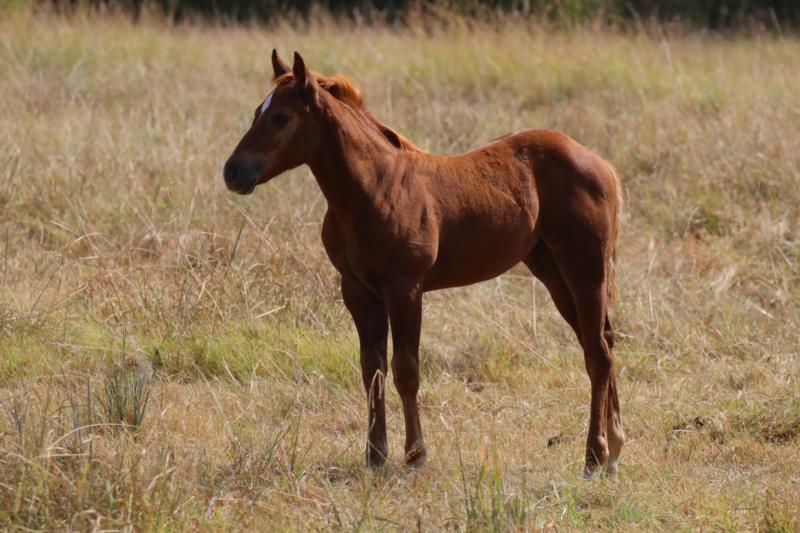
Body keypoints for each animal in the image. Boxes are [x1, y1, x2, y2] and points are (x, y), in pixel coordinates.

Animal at [223, 50, 625, 477]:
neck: (374, 187)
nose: (232, 172)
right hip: (552, 271)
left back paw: (595, 455)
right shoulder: (358, 292)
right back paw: (615, 448)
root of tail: (601, 164)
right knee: (601, 340)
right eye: (257, 111)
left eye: (281, 117)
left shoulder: (405, 289)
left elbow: (406, 369)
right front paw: (375, 455)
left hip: (585, 269)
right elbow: (372, 370)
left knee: (597, 352)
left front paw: (415, 455)